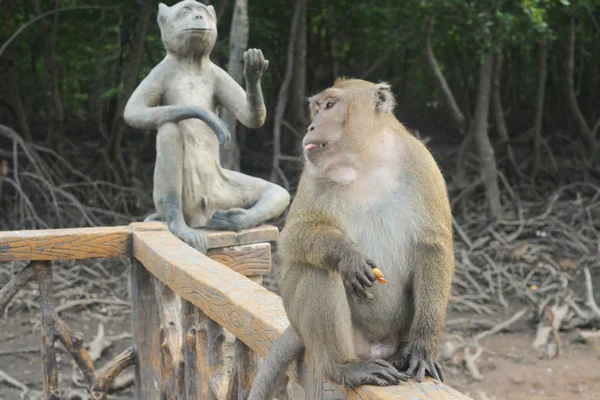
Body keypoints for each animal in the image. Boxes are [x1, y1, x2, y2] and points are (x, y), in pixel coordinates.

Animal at [123, 0, 290, 253]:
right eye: (185, 11)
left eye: (200, 10)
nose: (199, 17)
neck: (191, 62)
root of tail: (200, 215)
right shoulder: (161, 70)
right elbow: (132, 112)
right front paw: (210, 119)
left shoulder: (216, 72)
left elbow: (252, 118)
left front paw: (253, 74)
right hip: (182, 202)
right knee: (169, 128)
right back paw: (179, 225)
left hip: (223, 192)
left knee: (277, 192)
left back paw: (236, 219)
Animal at [248, 77, 454, 396]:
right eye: (316, 108)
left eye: (330, 105)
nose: (311, 126)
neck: (366, 160)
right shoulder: (313, 171)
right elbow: (293, 236)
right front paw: (349, 257)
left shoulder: (421, 162)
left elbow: (433, 245)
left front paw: (422, 348)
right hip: (311, 323)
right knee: (319, 270)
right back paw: (344, 367)